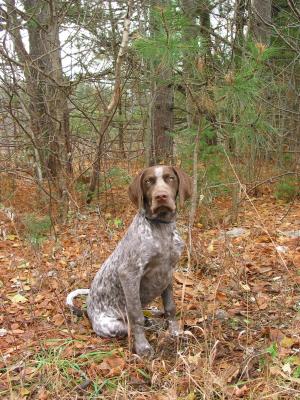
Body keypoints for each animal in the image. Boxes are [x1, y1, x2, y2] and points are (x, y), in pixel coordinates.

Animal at [67, 166, 191, 356]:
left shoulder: (168, 272)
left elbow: (170, 308)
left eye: (170, 178)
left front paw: (175, 333)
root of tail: (88, 312)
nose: (161, 196)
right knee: (133, 325)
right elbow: (136, 316)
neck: (161, 229)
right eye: (148, 181)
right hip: (113, 326)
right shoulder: (129, 274)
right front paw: (142, 347)